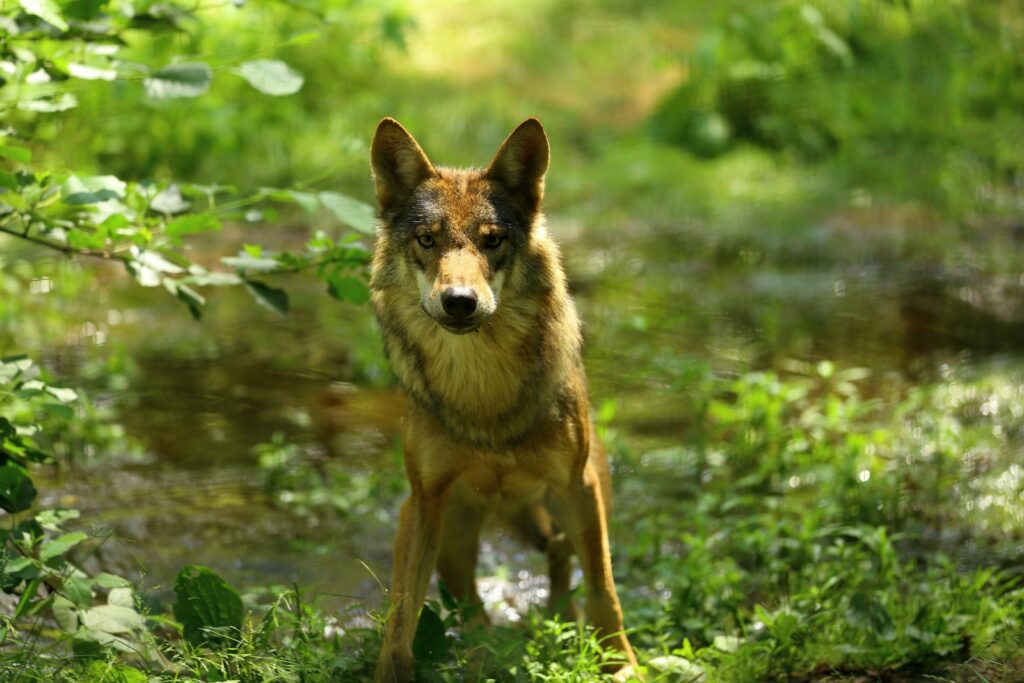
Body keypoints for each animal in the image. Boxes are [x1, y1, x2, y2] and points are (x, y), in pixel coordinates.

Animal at [368, 117, 639, 682]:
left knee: (560, 557)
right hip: (450, 529)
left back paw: (558, 620)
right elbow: (402, 615)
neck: (483, 391)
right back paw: (483, 651)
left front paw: (621, 665)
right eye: (427, 239)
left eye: (492, 240)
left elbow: (604, 590)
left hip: (579, 499)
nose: (459, 302)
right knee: (467, 599)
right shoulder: (423, 501)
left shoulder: (577, 486)